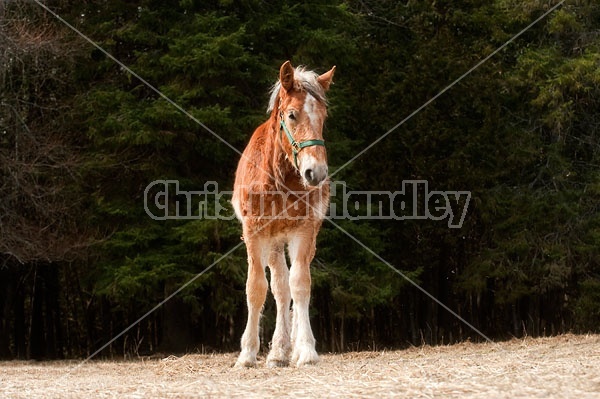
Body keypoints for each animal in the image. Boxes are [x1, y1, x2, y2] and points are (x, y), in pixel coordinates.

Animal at [232, 60, 336, 368]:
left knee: (288, 285)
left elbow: (300, 284)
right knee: (278, 286)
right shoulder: (255, 233)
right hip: (274, 243)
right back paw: (277, 352)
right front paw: (247, 354)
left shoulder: (304, 231)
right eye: (291, 114)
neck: (278, 177)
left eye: (323, 116)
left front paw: (307, 350)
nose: (316, 172)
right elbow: (256, 287)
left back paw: (287, 349)